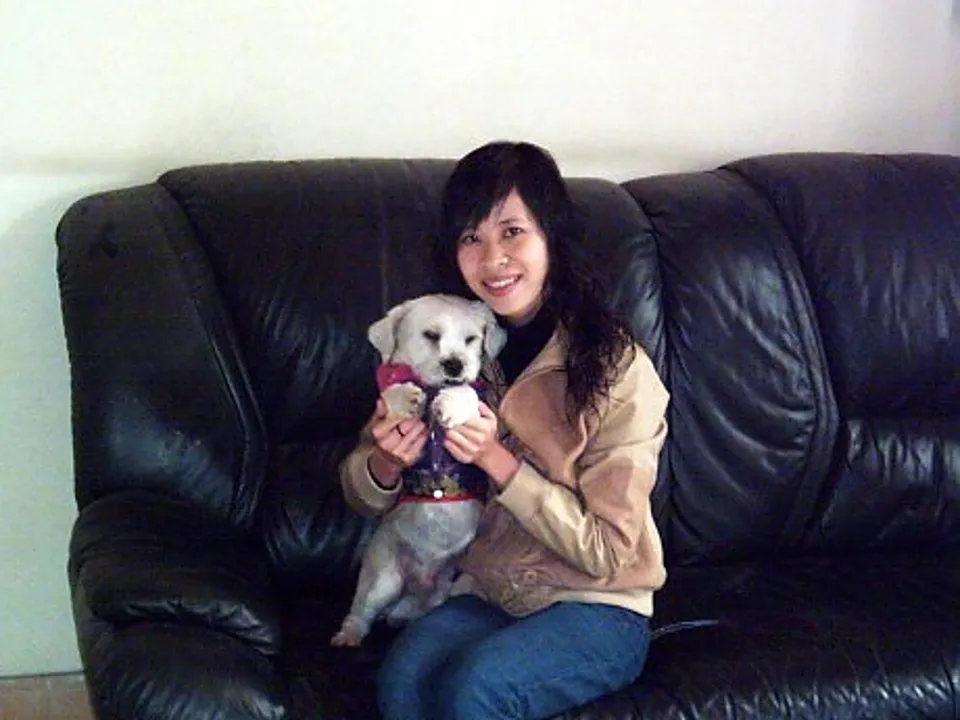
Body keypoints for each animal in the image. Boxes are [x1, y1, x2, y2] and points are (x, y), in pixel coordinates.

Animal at [331, 294, 507, 647]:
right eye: (431, 335)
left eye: (471, 339)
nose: (455, 364)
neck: (433, 388)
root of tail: (417, 585)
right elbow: (392, 392)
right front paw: (405, 398)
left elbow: (468, 391)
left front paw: (452, 403)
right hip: (383, 578)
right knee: (362, 612)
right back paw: (348, 635)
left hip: (449, 588)